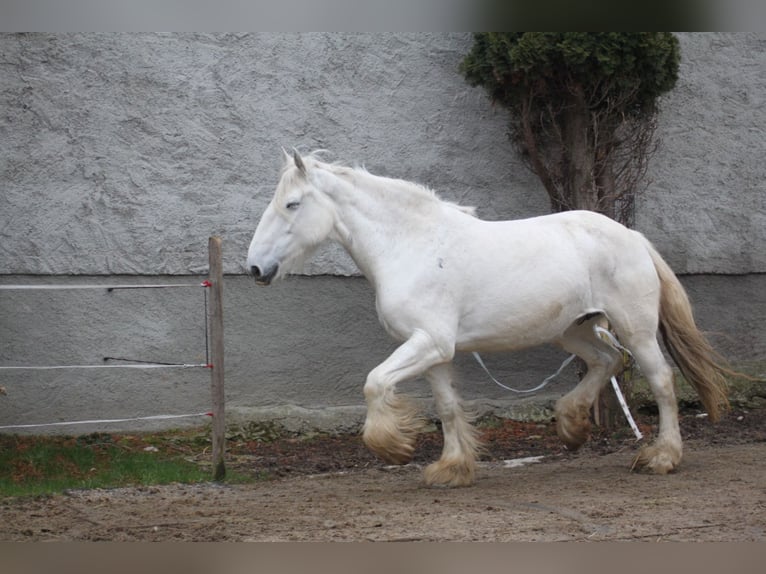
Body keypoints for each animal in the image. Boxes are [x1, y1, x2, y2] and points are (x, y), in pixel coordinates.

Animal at [249, 151, 736, 488]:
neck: (412, 245)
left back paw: (662, 458)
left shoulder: (429, 343)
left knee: (661, 381)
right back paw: (572, 426)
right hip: (572, 330)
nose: (255, 268)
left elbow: (374, 383)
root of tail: (633, 236)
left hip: (635, 328)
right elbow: (446, 407)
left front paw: (395, 448)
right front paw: (451, 468)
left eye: (292, 204)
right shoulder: (434, 350)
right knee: (606, 361)